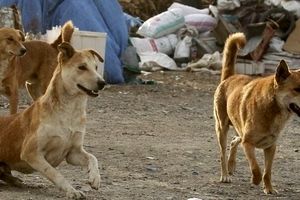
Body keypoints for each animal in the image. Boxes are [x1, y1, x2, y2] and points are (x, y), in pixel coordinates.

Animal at [0, 41, 106, 199]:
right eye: (82, 67)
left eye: (96, 67)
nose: (103, 83)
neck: (69, 111)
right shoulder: (31, 153)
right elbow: (55, 173)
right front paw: (71, 191)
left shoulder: (73, 153)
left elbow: (92, 157)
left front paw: (95, 178)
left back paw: (17, 181)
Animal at [213, 32, 300, 194]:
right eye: (297, 89)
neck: (273, 107)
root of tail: (229, 77)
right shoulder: (248, 144)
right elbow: (256, 169)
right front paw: (255, 180)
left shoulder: (271, 147)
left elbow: (267, 172)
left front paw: (269, 189)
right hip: (222, 128)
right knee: (222, 153)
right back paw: (225, 175)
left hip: (239, 130)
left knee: (234, 141)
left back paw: (231, 165)